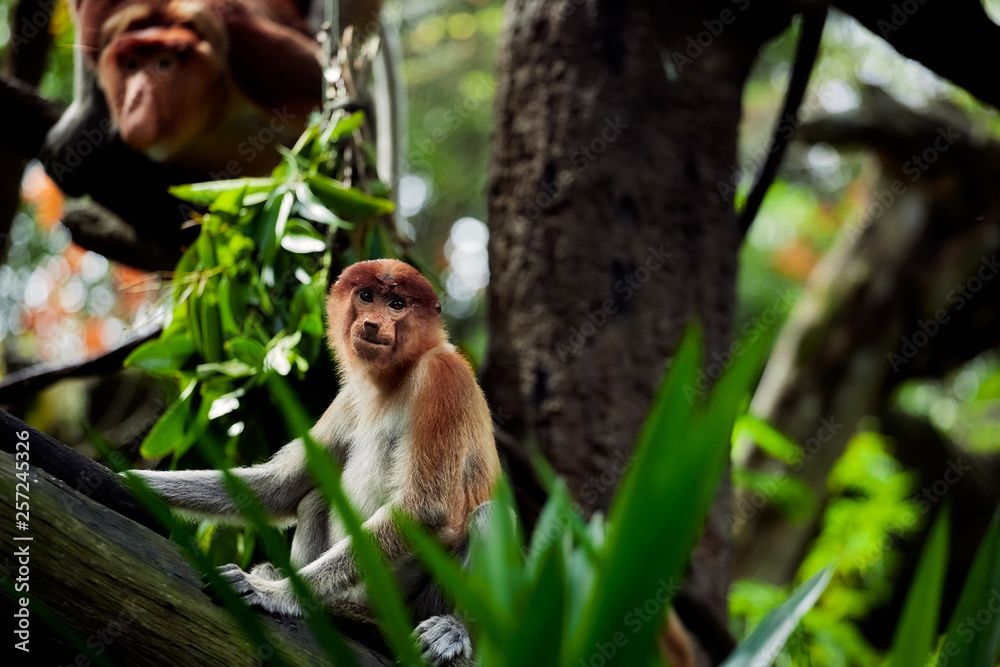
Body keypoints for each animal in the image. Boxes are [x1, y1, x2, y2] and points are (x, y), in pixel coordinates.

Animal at [126, 259, 500, 665]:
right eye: (366, 296)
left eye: (397, 304)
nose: (371, 324)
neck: (393, 379)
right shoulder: (348, 399)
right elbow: (280, 489)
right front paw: (126, 479)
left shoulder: (443, 378)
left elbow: (426, 509)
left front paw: (274, 593)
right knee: (315, 498)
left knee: (487, 515)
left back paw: (452, 631)